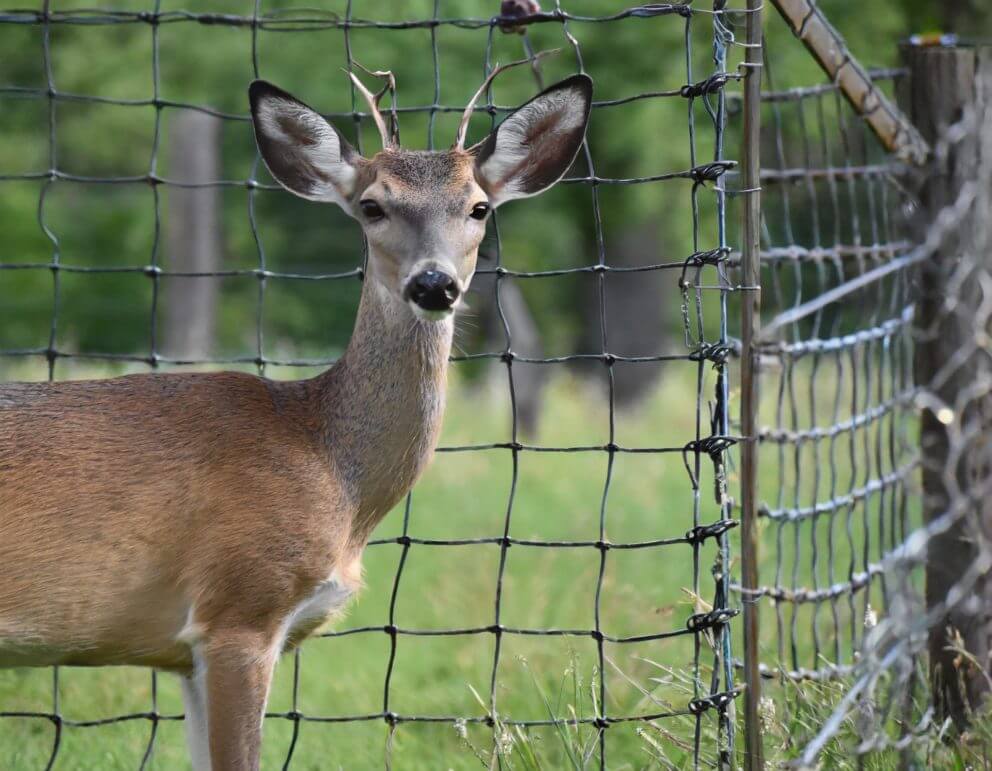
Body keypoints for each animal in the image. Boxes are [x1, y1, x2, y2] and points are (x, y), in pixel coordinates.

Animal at [0, 68, 588, 771]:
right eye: (373, 206)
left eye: (478, 208)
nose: (434, 284)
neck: (330, 462)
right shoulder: (241, 608)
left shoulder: (188, 652)